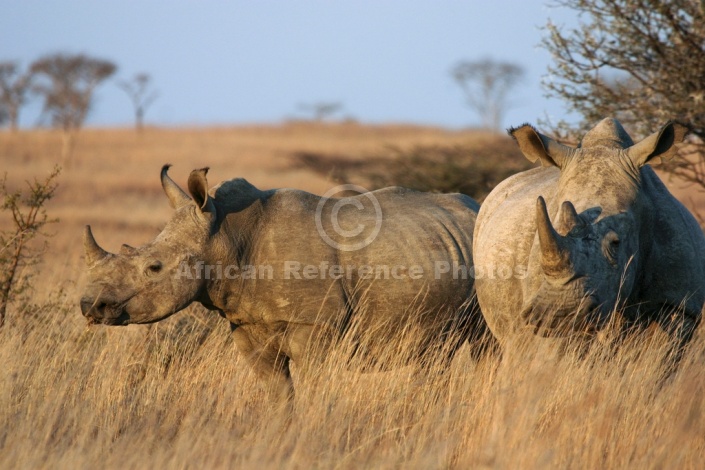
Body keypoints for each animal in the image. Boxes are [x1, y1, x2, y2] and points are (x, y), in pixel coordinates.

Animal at [80, 164, 492, 400]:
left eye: (154, 267)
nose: (89, 306)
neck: (225, 236)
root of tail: (475, 207)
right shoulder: (246, 325)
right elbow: (278, 393)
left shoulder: (317, 325)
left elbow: (315, 389)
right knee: (434, 355)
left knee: (486, 346)